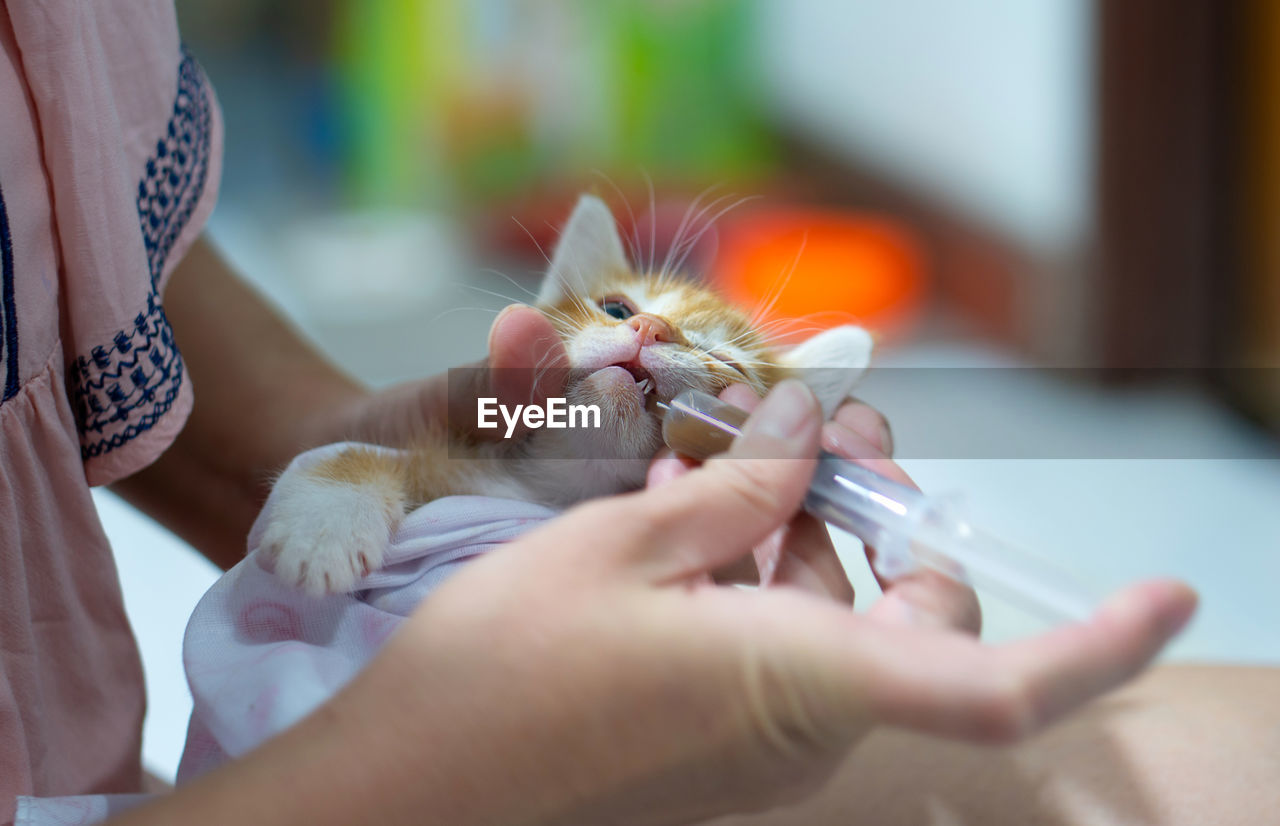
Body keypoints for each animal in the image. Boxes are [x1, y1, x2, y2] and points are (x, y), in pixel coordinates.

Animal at [264, 194, 875, 591]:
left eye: (726, 364)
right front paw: (322, 526)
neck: (570, 488)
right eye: (617, 309)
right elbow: (355, 454)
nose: (651, 327)